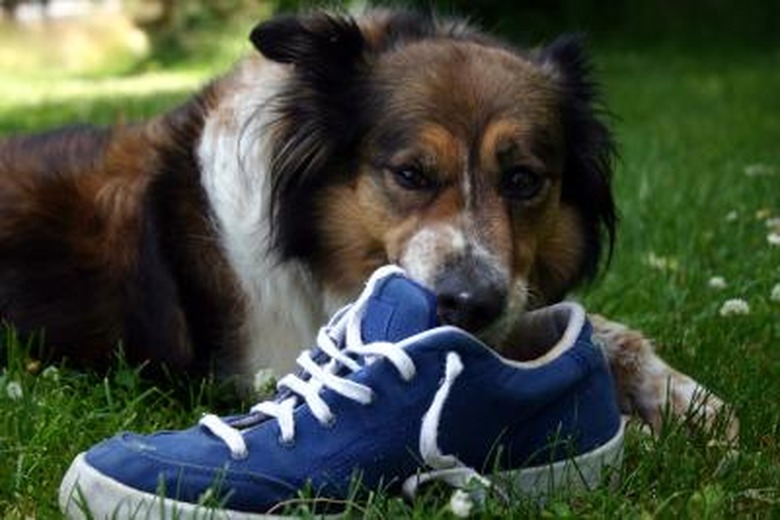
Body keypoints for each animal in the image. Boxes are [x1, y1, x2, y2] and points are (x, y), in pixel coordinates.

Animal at [0, 8, 736, 438]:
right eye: (409, 174)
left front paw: (684, 401)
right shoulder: (276, 361)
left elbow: (604, 333)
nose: (469, 303)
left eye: (524, 180)